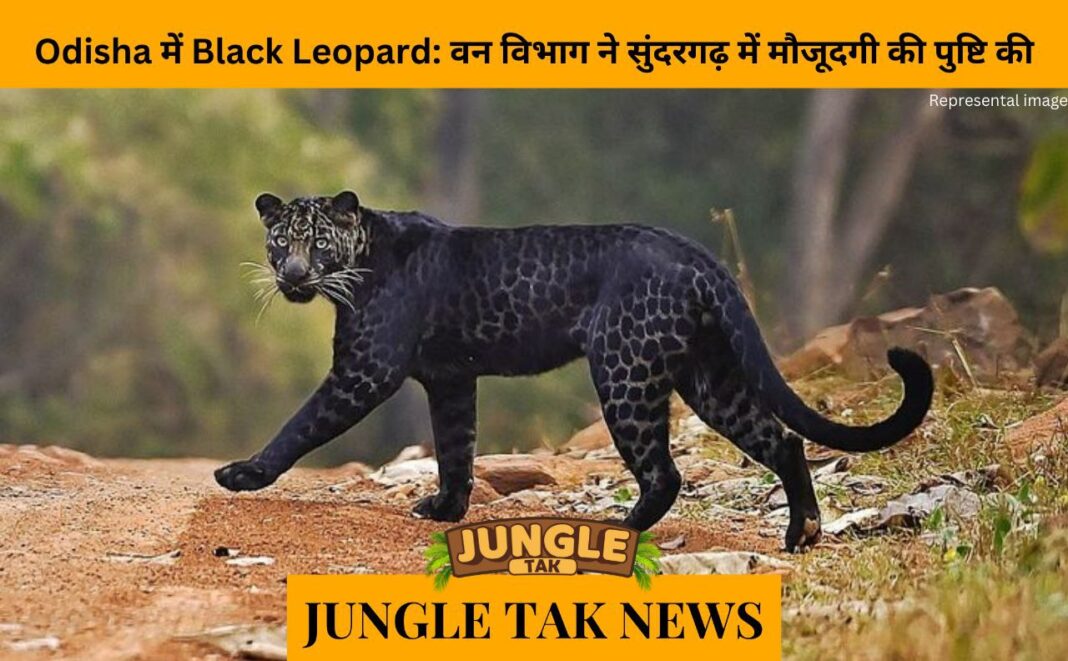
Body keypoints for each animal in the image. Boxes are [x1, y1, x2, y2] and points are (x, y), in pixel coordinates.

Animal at [215, 191, 934, 551]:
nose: (293, 274)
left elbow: (302, 424)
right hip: (708, 377)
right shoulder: (450, 380)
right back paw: (800, 532)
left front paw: (243, 474)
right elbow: (455, 449)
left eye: (317, 242)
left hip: (625, 372)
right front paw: (445, 509)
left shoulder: (365, 369)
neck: (359, 260)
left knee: (665, 470)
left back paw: (620, 530)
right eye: (280, 242)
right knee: (781, 439)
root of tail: (697, 254)